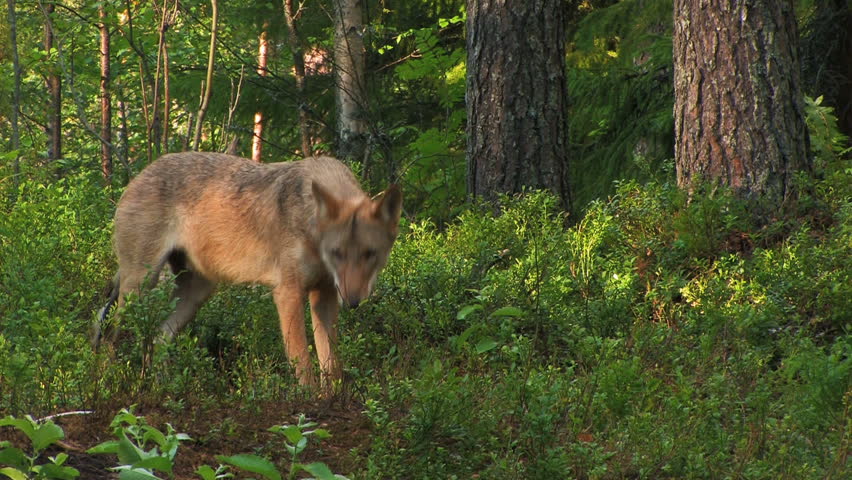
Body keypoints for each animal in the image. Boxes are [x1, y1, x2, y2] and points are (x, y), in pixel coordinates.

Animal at [93, 151, 402, 388]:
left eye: (370, 254)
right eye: (337, 254)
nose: (353, 301)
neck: (310, 223)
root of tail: (139, 174)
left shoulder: (324, 295)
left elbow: (331, 364)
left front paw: (332, 401)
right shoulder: (288, 294)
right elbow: (303, 363)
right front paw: (309, 406)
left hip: (195, 295)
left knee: (158, 337)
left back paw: (163, 390)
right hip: (139, 290)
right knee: (109, 339)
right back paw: (107, 388)